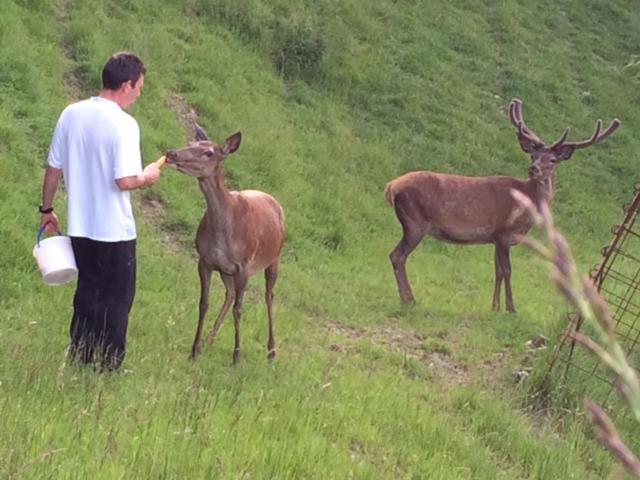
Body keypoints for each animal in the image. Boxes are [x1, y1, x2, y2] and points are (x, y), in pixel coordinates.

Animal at [165, 125, 284, 362]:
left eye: (209, 152)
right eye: (191, 144)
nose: (172, 153)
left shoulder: (244, 265)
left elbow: (239, 309)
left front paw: (237, 356)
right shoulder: (205, 261)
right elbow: (204, 303)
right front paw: (194, 351)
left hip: (274, 258)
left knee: (269, 297)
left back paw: (272, 351)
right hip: (226, 270)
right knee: (229, 294)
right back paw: (209, 340)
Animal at [384, 99, 620, 314]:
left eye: (553, 160)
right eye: (533, 155)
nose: (533, 169)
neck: (527, 202)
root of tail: (391, 186)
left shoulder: (495, 238)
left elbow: (497, 270)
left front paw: (494, 307)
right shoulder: (504, 232)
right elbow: (507, 270)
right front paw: (511, 308)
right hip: (415, 221)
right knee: (397, 255)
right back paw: (408, 299)